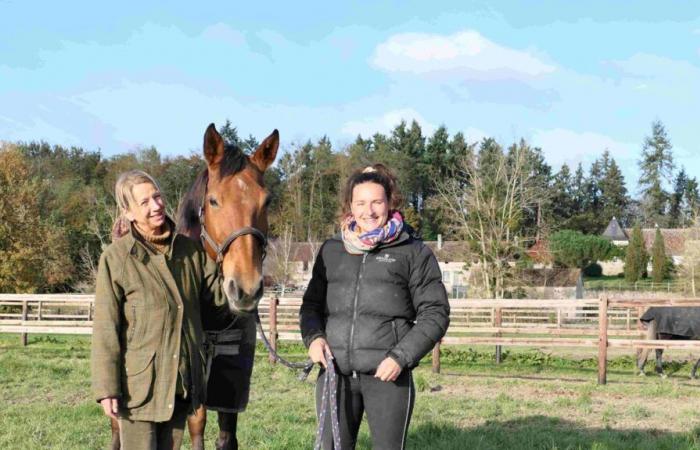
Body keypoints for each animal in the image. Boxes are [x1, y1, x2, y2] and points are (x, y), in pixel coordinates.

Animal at [108, 125, 278, 450]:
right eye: (213, 200)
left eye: (266, 202)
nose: (246, 289)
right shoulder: (194, 388)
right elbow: (197, 428)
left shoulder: (231, 390)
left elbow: (227, 437)